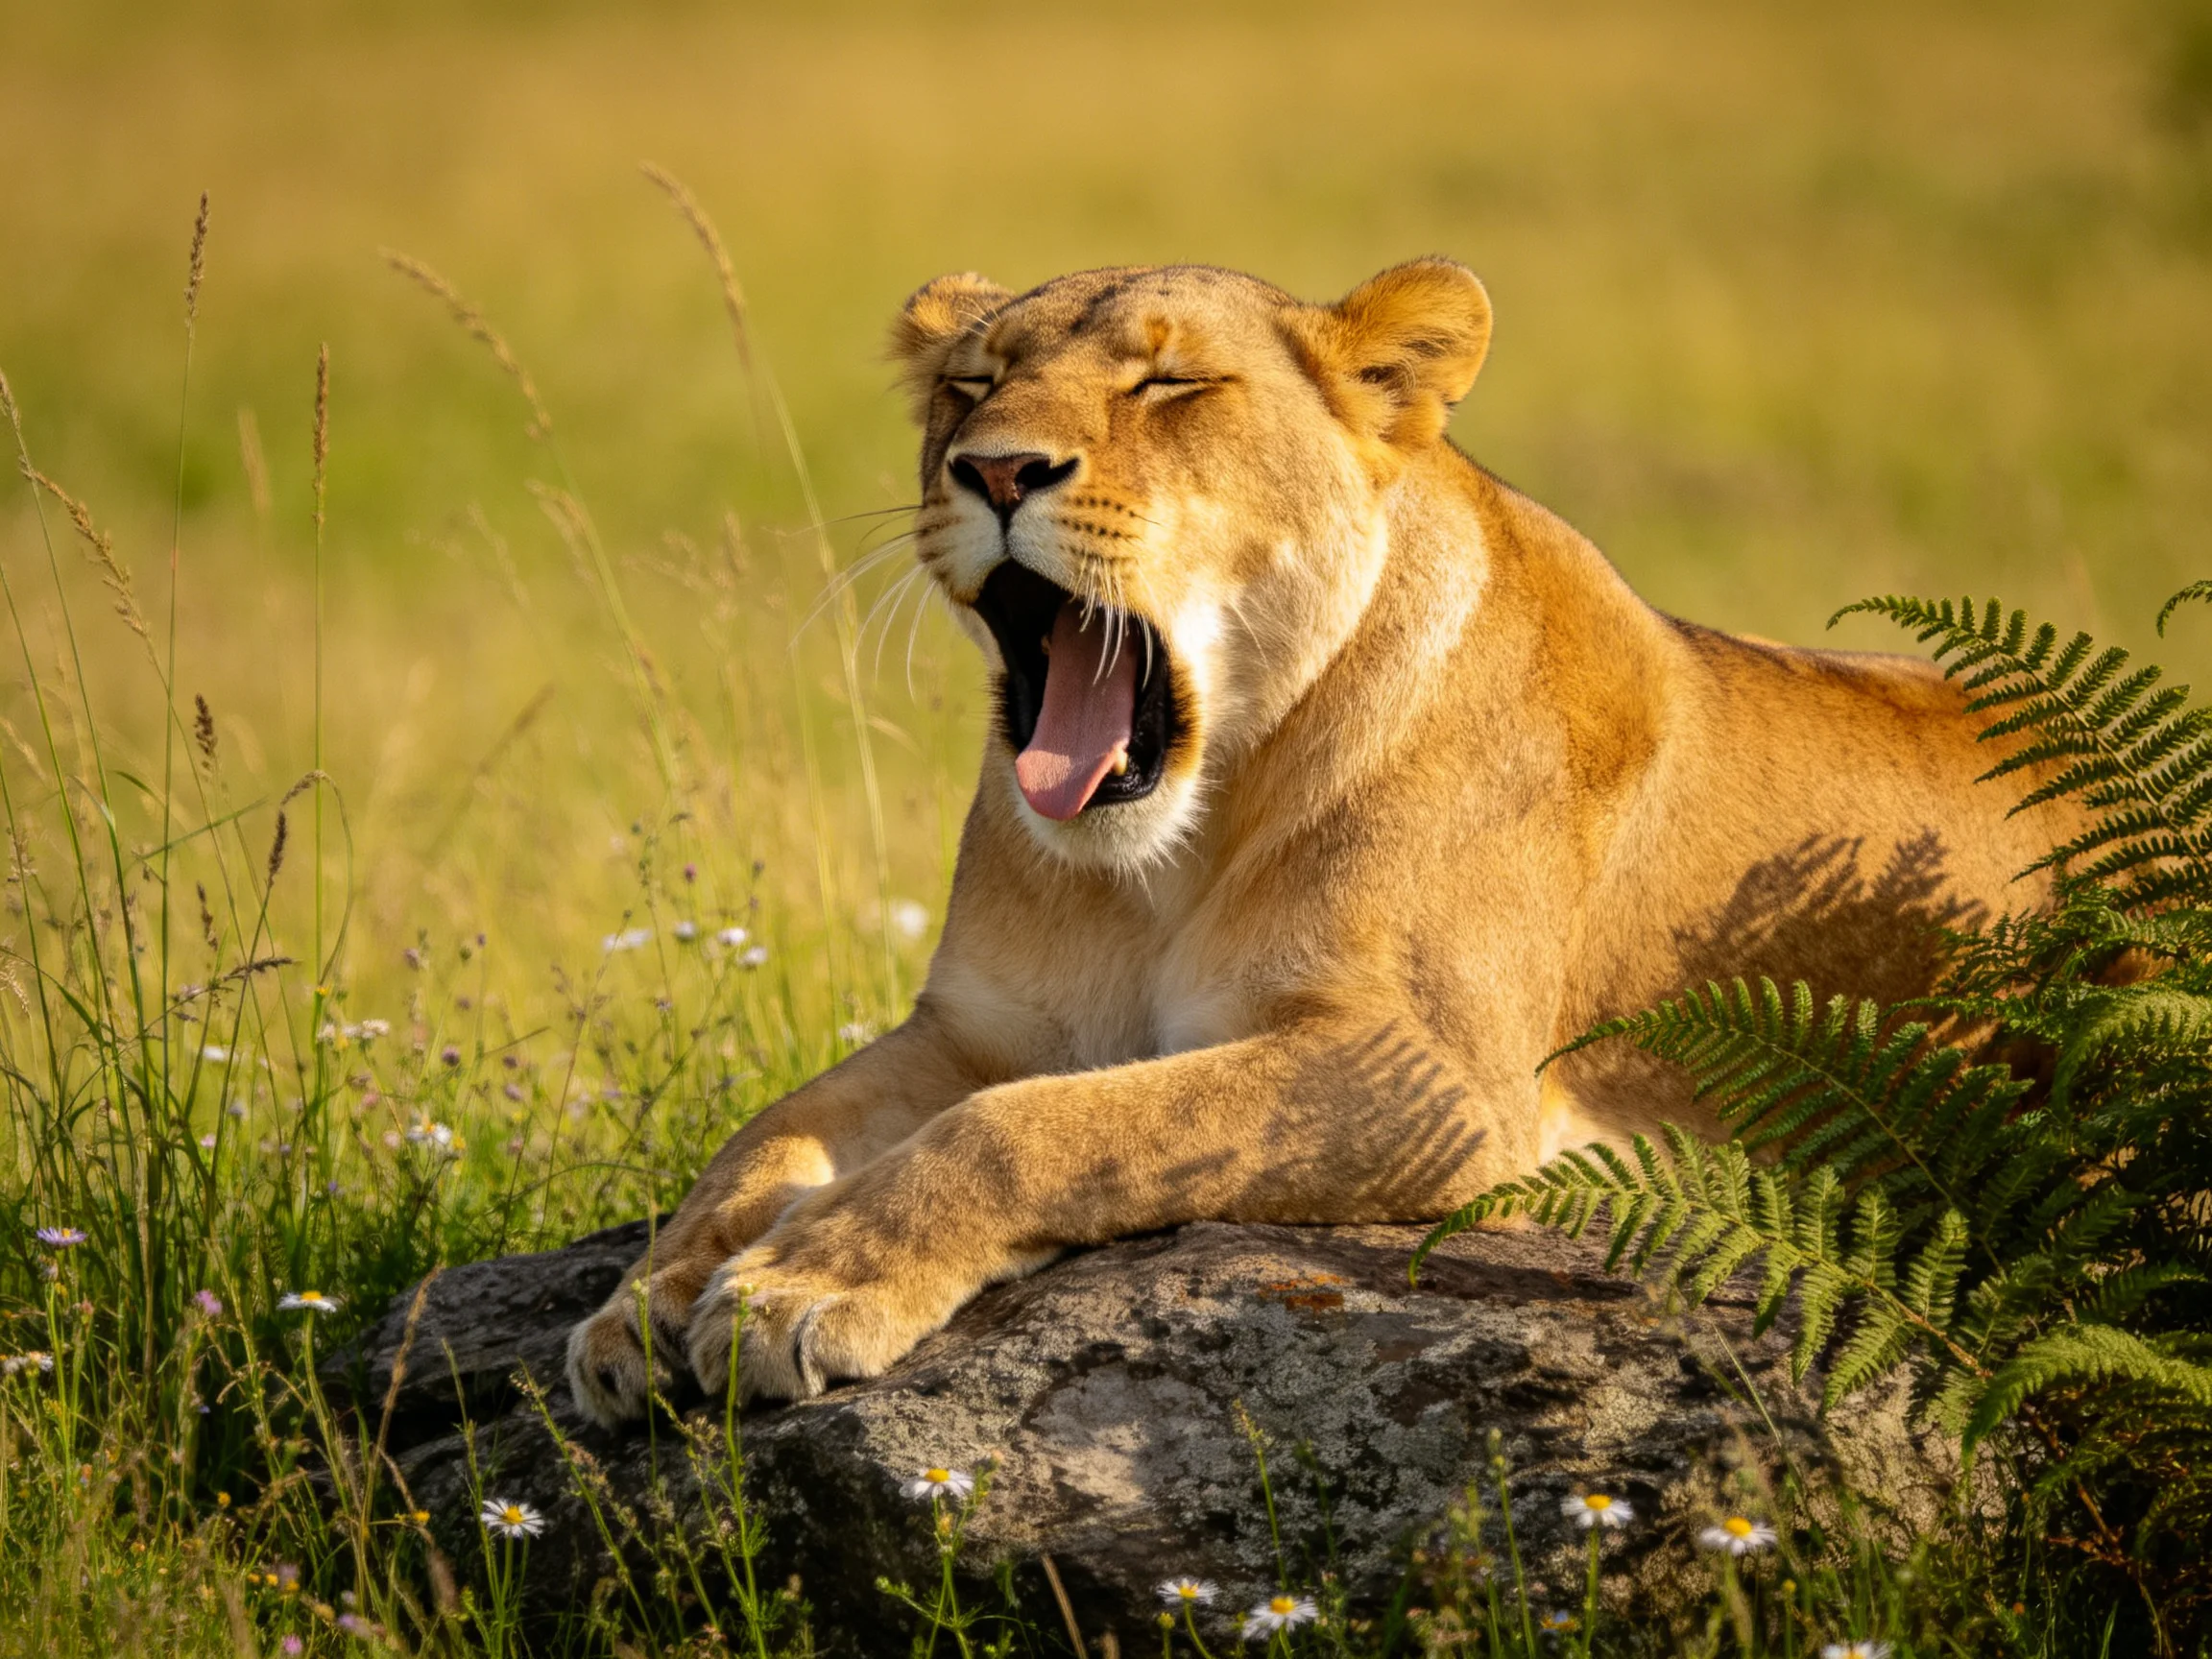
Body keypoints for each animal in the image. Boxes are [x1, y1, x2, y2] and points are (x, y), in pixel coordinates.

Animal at [567, 259, 2066, 1423]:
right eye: (970, 386)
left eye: (1167, 386)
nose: (990, 467)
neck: (1164, 862)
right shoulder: (976, 1029)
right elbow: (768, 1136)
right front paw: (646, 1304)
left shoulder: (1427, 1082)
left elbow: (1036, 1128)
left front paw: (808, 1284)